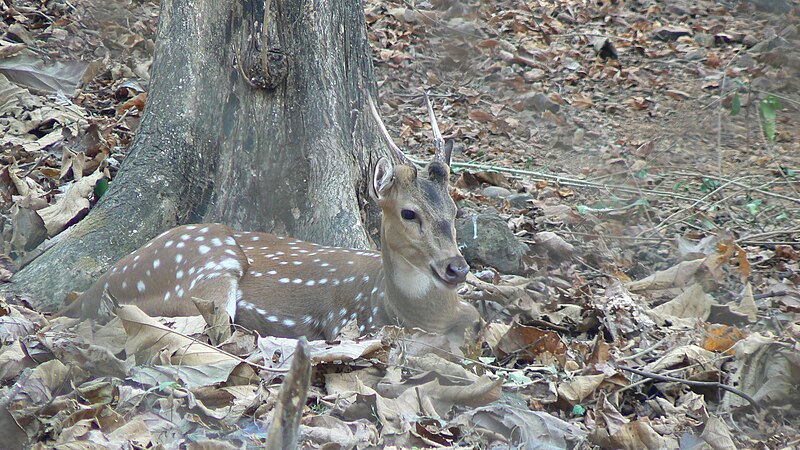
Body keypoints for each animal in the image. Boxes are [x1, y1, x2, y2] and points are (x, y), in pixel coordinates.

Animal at [75, 93, 478, 342]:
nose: (457, 268)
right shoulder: (349, 322)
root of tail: (94, 290)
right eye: (409, 213)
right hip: (205, 269)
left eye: (455, 210)